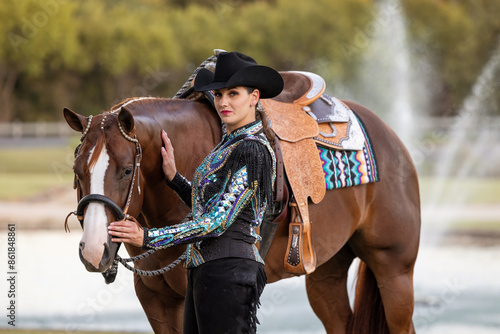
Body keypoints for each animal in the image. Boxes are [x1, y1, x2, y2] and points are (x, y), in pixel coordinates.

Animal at [64, 94, 420, 334]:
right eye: (77, 171)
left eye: (127, 170)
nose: (93, 249)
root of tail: (391, 138)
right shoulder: (156, 300)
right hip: (326, 275)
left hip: (394, 271)